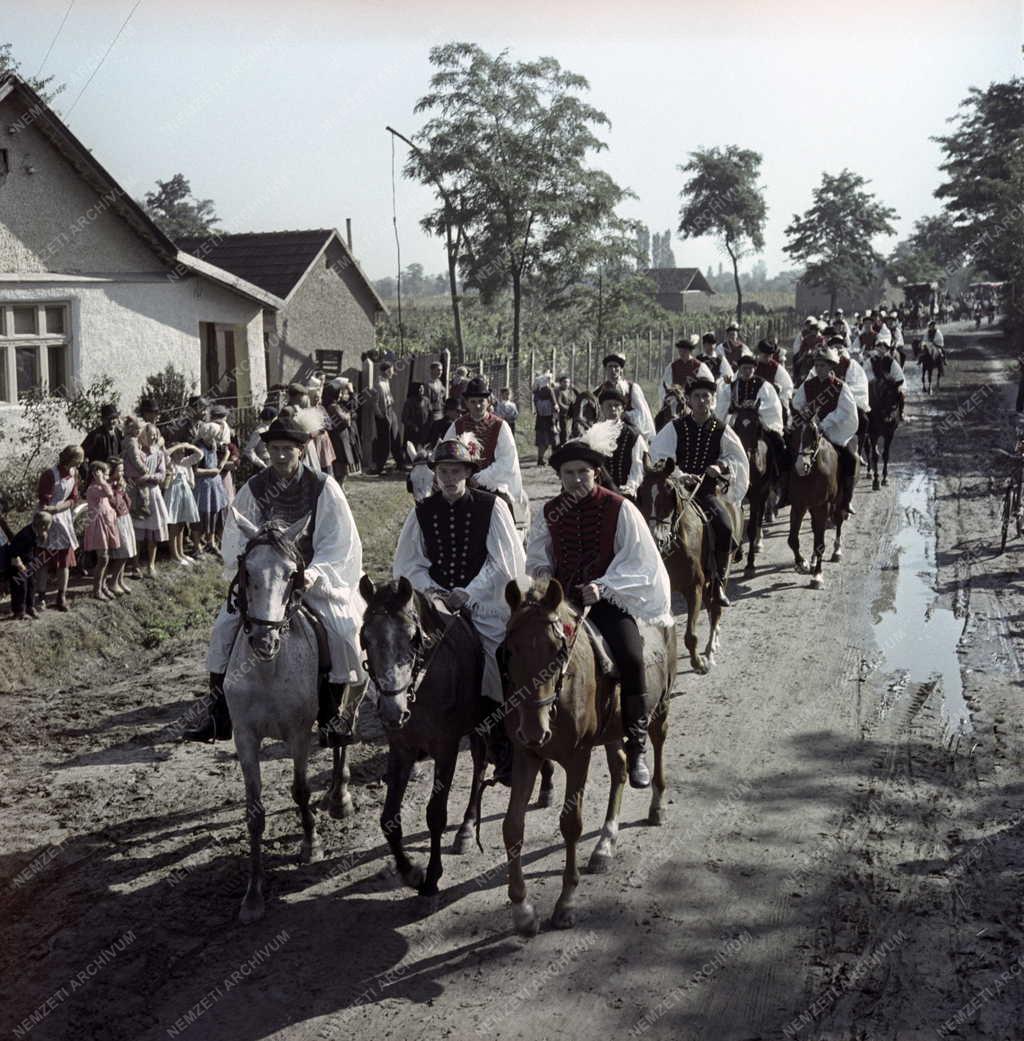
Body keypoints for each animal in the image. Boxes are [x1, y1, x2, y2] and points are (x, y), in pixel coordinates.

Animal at [223, 508, 355, 924]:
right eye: (247, 569)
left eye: (290, 573)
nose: (263, 640)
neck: (268, 670)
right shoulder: (245, 737)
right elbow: (254, 812)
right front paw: (253, 895)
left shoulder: (298, 733)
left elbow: (300, 790)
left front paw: (311, 844)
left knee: (342, 738)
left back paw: (340, 796)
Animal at [357, 574, 489, 899]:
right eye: (365, 638)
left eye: (413, 638)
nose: (392, 710)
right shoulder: (401, 749)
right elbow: (389, 819)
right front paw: (411, 873)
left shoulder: (446, 749)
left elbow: (436, 814)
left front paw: (432, 876)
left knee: (481, 766)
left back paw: (469, 826)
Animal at [499, 578, 674, 936]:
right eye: (510, 650)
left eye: (557, 650)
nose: (534, 729)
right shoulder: (527, 754)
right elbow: (512, 826)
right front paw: (522, 910)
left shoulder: (577, 757)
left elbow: (571, 825)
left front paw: (565, 903)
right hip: (611, 730)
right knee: (619, 767)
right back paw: (605, 845)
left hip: (660, 706)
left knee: (658, 743)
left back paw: (656, 804)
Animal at [632, 460, 736, 670]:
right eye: (640, 493)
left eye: (669, 492)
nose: (655, 539)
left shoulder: (694, 587)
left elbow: (690, 635)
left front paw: (699, 663)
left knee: (716, 609)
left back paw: (711, 648)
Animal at [786, 416, 845, 595]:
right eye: (794, 435)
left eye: (813, 435)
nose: (801, 466)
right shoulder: (799, 505)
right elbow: (793, 539)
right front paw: (802, 563)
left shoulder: (823, 507)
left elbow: (820, 544)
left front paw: (817, 577)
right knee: (815, 529)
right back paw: (812, 562)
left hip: (837, 502)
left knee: (839, 521)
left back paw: (837, 551)